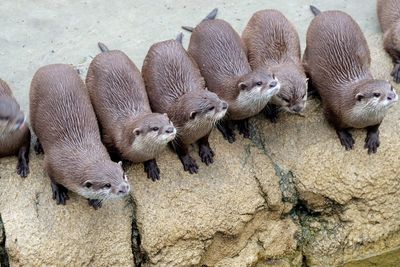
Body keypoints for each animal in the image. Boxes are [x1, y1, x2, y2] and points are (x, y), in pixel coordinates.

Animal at [29, 64, 130, 209]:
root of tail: (50, 66)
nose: (124, 188)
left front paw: (95, 199)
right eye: (107, 185)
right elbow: (52, 178)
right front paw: (59, 190)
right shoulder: (50, 163)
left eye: (123, 175)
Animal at [86, 43, 176, 182]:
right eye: (155, 128)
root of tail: (107, 53)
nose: (170, 129)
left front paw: (151, 166)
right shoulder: (109, 138)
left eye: (169, 121)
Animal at [142, 33, 227, 175]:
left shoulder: (207, 129)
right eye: (211, 107)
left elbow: (205, 140)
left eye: (217, 96)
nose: (225, 105)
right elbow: (182, 151)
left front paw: (206, 152)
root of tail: (165, 42)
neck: (194, 132)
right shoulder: (178, 138)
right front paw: (189, 162)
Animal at [183, 8, 280, 142]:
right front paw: (228, 133)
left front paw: (244, 128)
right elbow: (220, 123)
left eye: (273, 75)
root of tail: (205, 23)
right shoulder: (221, 107)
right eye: (259, 83)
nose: (274, 83)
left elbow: (244, 120)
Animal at [304, 5, 396, 154]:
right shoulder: (330, 110)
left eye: (391, 88)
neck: (360, 120)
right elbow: (337, 126)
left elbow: (376, 126)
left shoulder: (379, 116)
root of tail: (326, 13)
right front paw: (345, 136)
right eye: (376, 94)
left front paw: (373, 138)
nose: (392, 96)